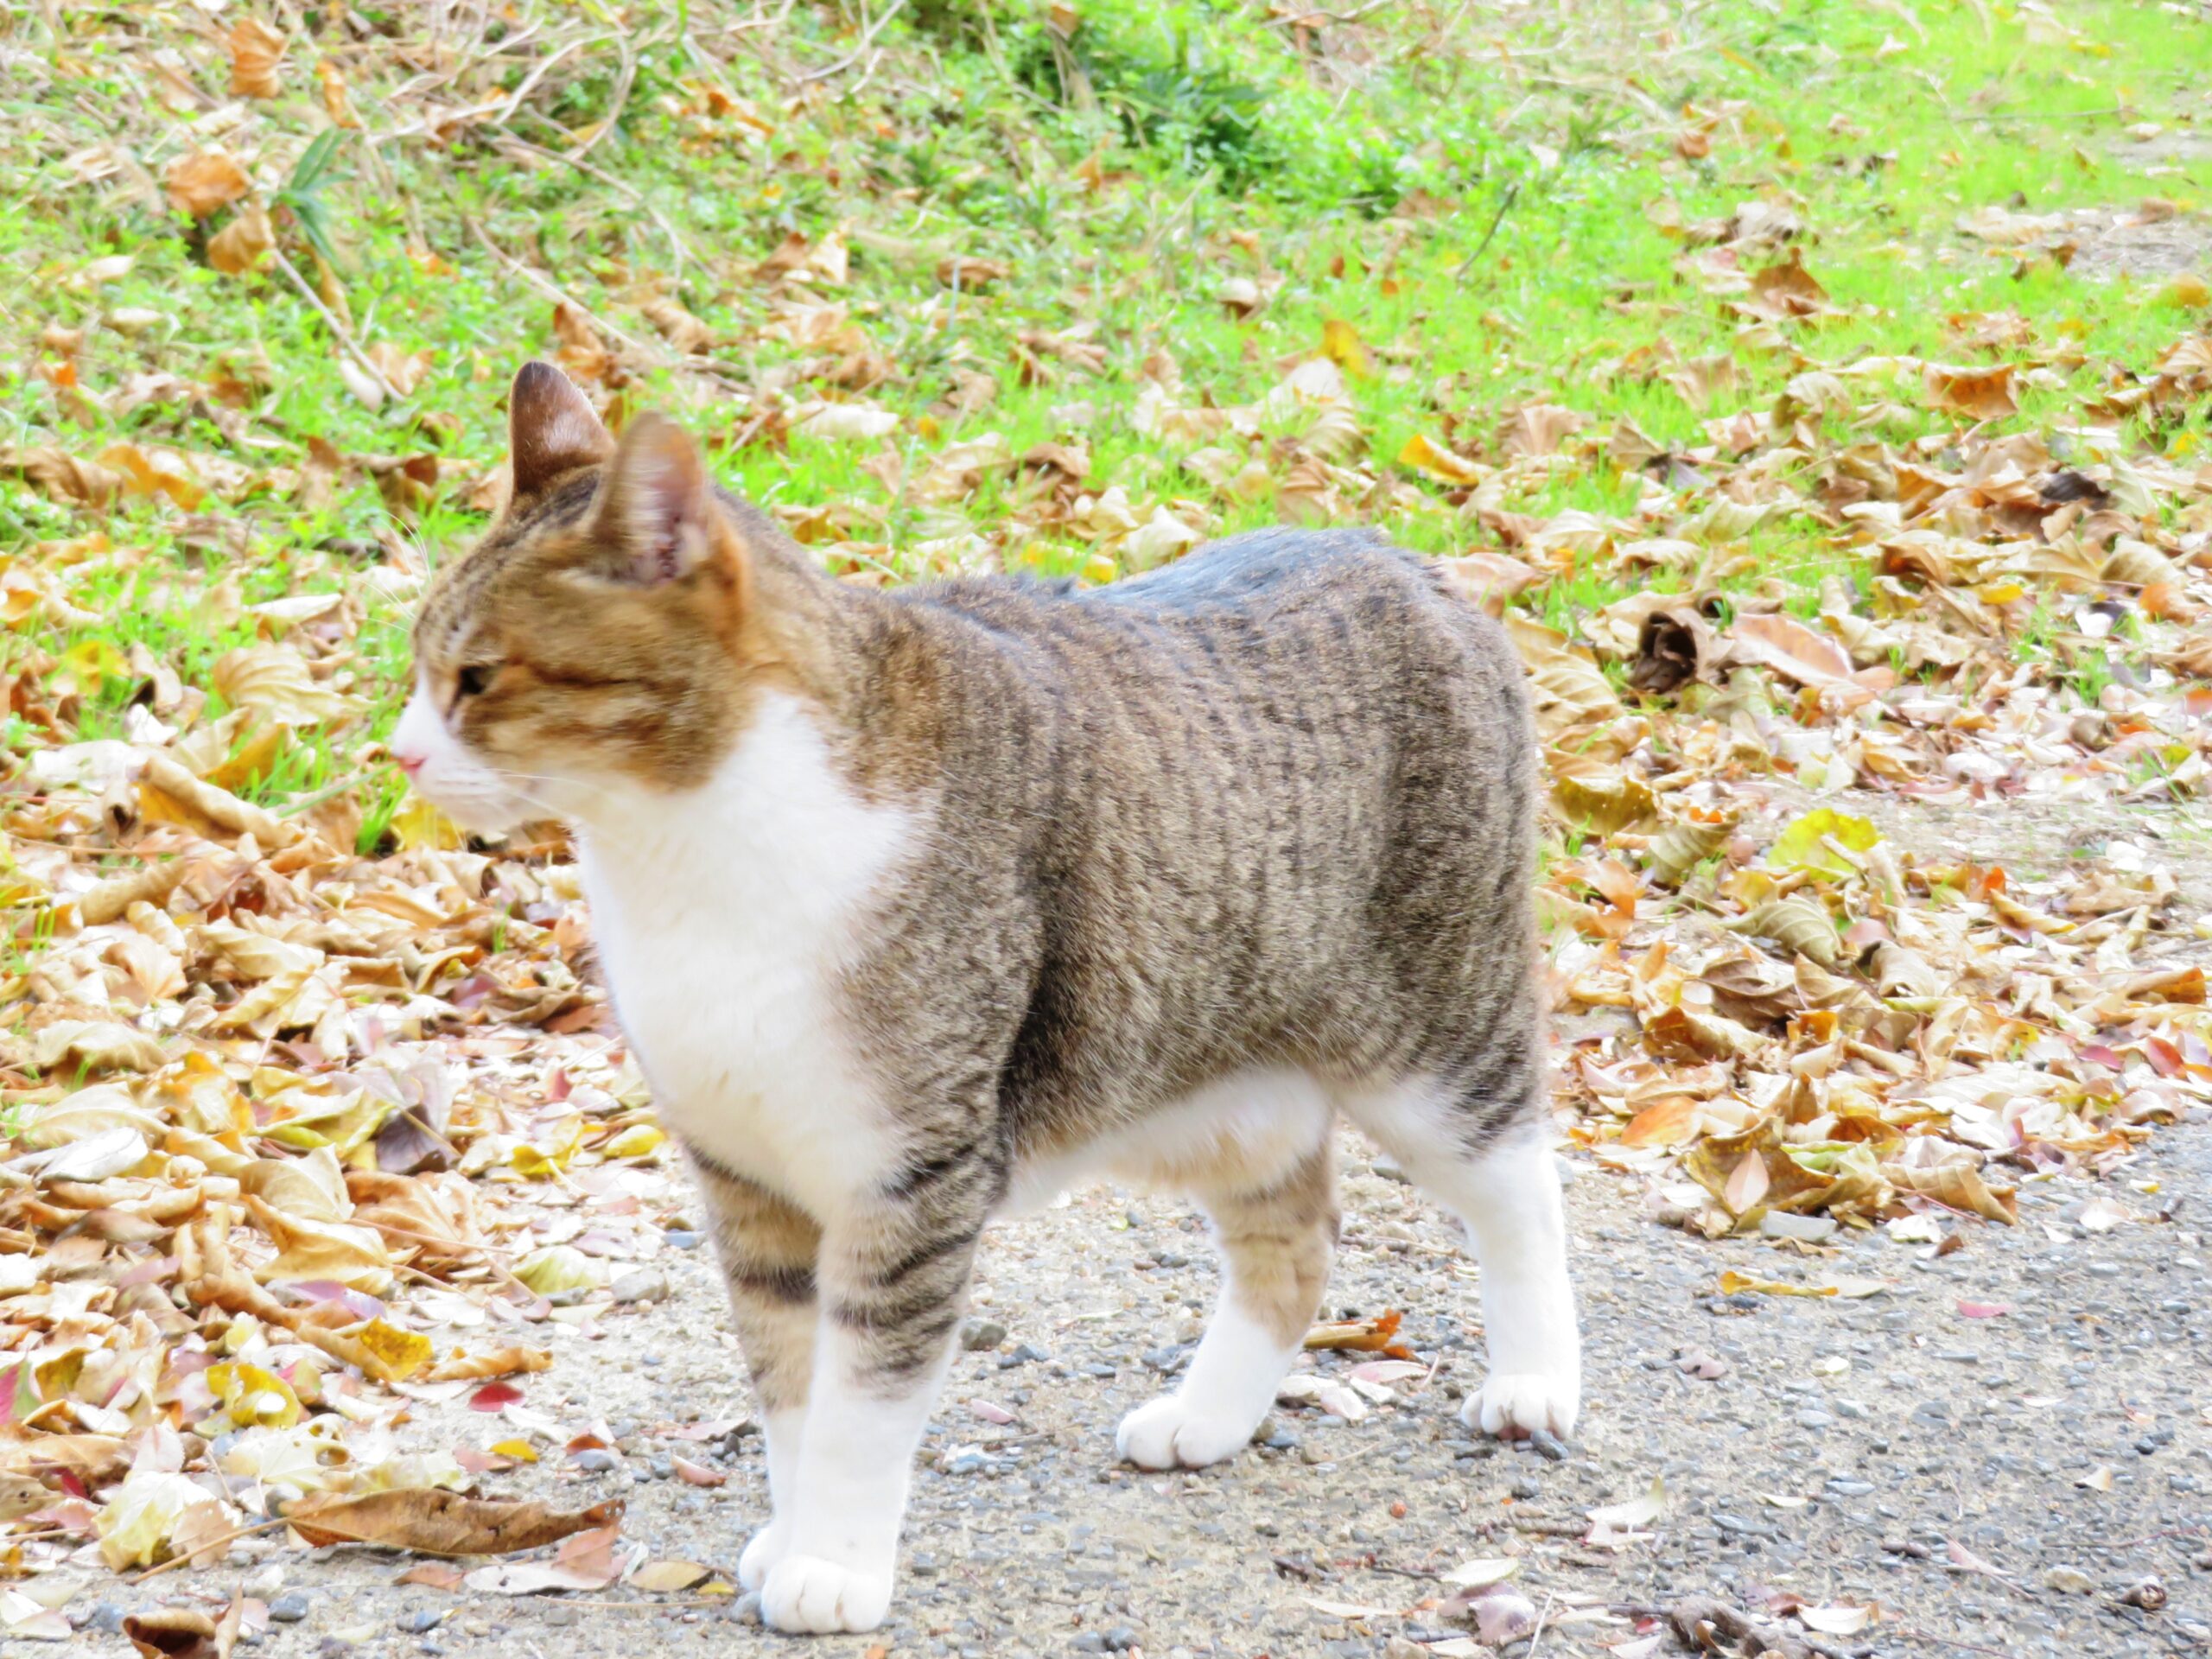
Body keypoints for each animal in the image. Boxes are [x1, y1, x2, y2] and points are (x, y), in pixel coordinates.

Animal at [393, 362, 1574, 1637]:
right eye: (418, 664)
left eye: (477, 677)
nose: (400, 754)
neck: (684, 857)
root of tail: (1402, 555)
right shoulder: (747, 1178)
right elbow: (788, 1387)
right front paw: (791, 1532)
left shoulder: (907, 1174)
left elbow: (860, 1402)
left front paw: (834, 1564)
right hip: (1214, 1082)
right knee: (1296, 1236)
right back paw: (1209, 1417)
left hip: (1434, 1033)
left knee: (1517, 1182)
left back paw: (1533, 1380)